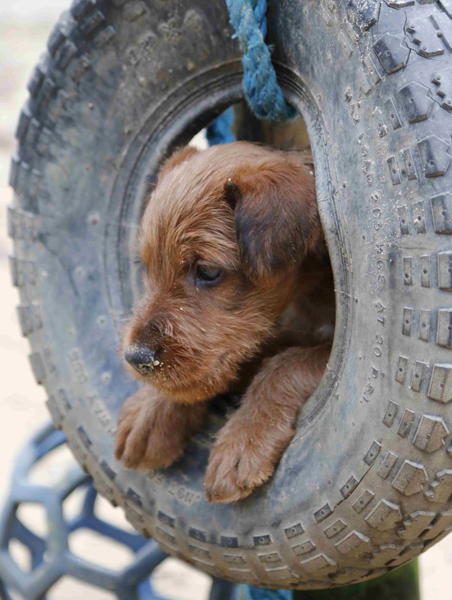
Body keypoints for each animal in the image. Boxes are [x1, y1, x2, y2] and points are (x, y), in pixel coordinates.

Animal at [115, 141, 334, 502]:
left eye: (207, 271)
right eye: (145, 266)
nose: (136, 357)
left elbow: (286, 363)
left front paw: (243, 440)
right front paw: (152, 408)